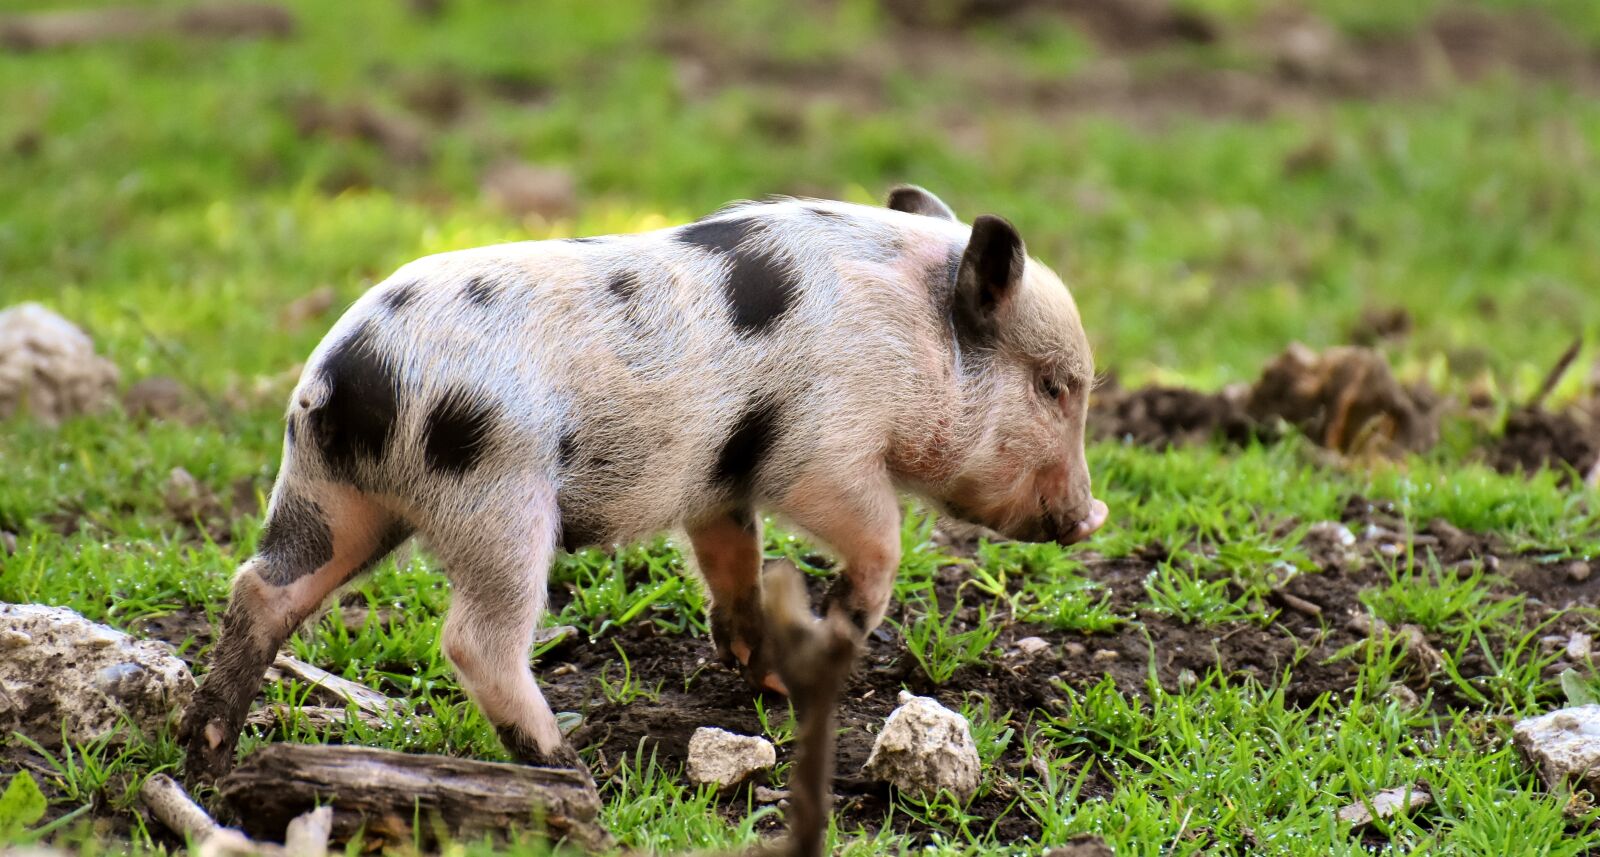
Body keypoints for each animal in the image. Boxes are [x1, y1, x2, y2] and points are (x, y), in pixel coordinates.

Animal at [179, 186, 1108, 782]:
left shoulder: (721, 479)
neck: (915, 339)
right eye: (1055, 386)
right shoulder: (821, 451)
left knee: (262, 584)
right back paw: (571, 767)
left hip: (333, 494)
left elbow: (734, 559)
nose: (1089, 516)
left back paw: (207, 750)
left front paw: (766, 675)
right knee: (475, 640)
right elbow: (878, 537)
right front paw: (834, 633)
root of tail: (348, 378)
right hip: (499, 500)